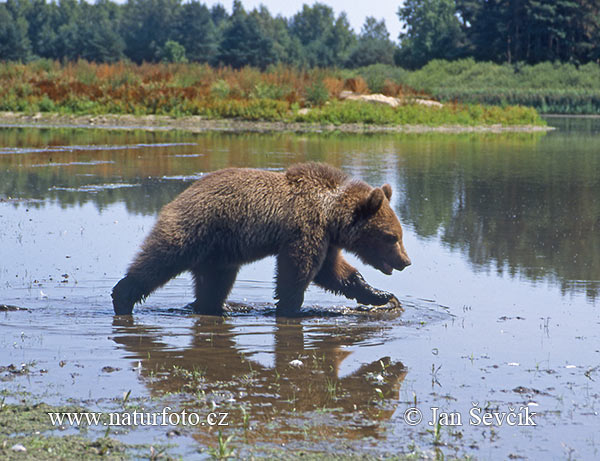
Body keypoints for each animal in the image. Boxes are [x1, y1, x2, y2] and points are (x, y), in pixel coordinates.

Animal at [111, 163, 412, 316]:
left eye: (399, 235)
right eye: (391, 237)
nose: (406, 261)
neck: (331, 213)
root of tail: (180, 194)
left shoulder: (326, 238)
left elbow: (334, 272)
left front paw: (381, 295)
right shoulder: (305, 228)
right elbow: (299, 269)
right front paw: (290, 306)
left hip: (219, 250)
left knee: (215, 280)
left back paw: (223, 305)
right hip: (197, 228)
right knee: (160, 259)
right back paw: (122, 297)